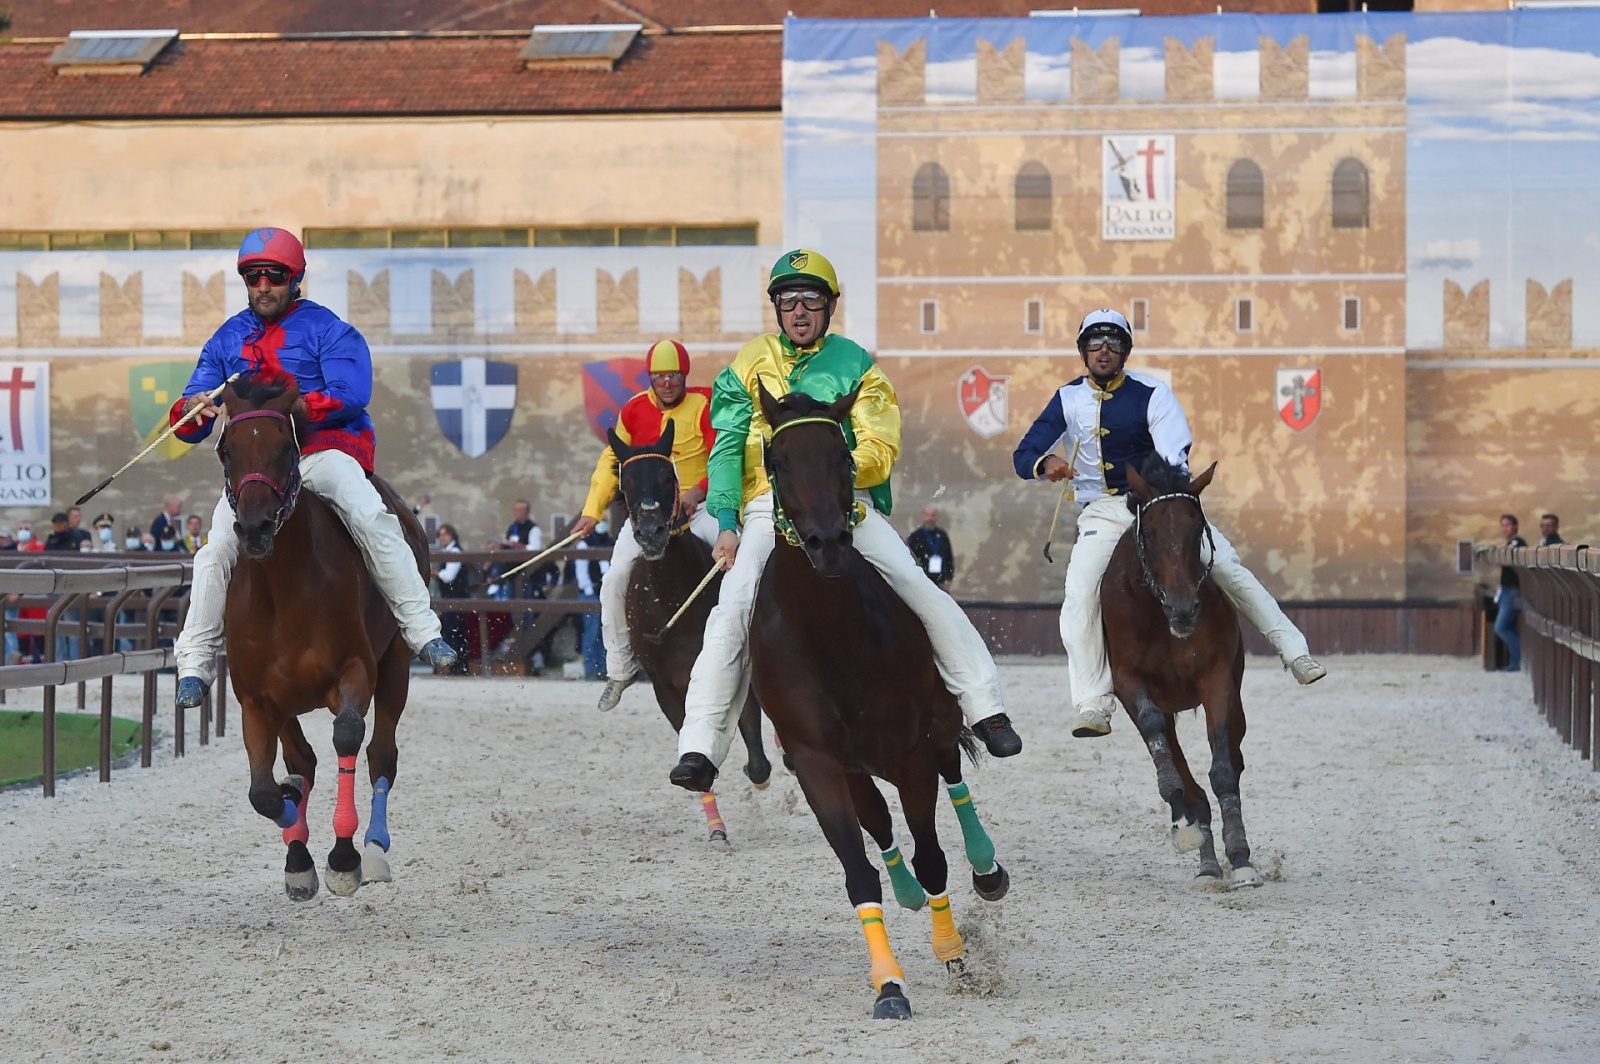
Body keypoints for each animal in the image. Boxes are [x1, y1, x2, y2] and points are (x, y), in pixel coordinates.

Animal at [216, 369, 425, 902]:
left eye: (285, 447)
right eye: (226, 450)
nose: (254, 529)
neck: (285, 592)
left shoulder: (355, 670)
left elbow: (348, 735)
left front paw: (344, 856)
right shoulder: (257, 698)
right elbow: (266, 791)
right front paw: (297, 853)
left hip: (396, 664)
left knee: (381, 755)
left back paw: (373, 849)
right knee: (303, 760)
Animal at [601, 419, 771, 844]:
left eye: (668, 476)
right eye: (627, 482)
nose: (651, 533)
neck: (671, 596)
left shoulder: (731, 664)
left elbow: (756, 749)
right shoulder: (665, 686)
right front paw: (716, 826)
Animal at [745, 384, 998, 1024]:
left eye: (843, 453)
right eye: (777, 460)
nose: (829, 543)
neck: (833, 636)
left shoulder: (911, 750)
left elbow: (934, 856)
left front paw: (955, 958)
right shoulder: (816, 759)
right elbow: (859, 871)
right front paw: (889, 986)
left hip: (937, 724)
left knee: (955, 779)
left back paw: (987, 868)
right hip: (857, 765)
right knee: (879, 820)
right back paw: (905, 890)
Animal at [1100, 451, 1260, 883]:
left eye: (1196, 529)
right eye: (1151, 533)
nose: (1183, 608)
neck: (1159, 618)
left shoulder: (1217, 679)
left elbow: (1223, 767)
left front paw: (1240, 856)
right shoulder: (1128, 681)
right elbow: (1157, 735)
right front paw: (1185, 824)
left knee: (1233, 755)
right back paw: (1204, 856)